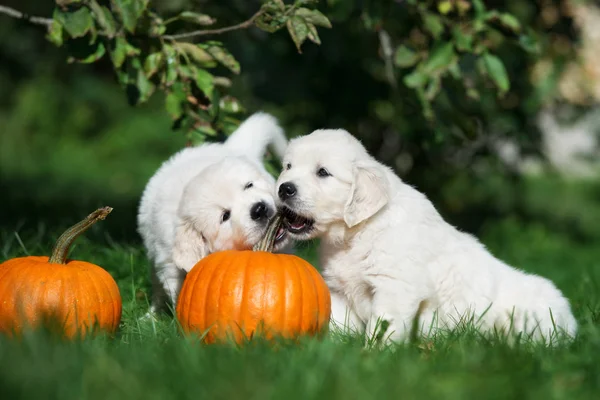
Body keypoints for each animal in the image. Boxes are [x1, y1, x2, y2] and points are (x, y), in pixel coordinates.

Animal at [276, 129, 576, 344]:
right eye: (287, 166)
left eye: (323, 172)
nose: (284, 189)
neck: (357, 233)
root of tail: (571, 324)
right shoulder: (338, 291)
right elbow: (340, 321)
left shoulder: (395, 287)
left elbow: (383, 328)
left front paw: (371, 357)